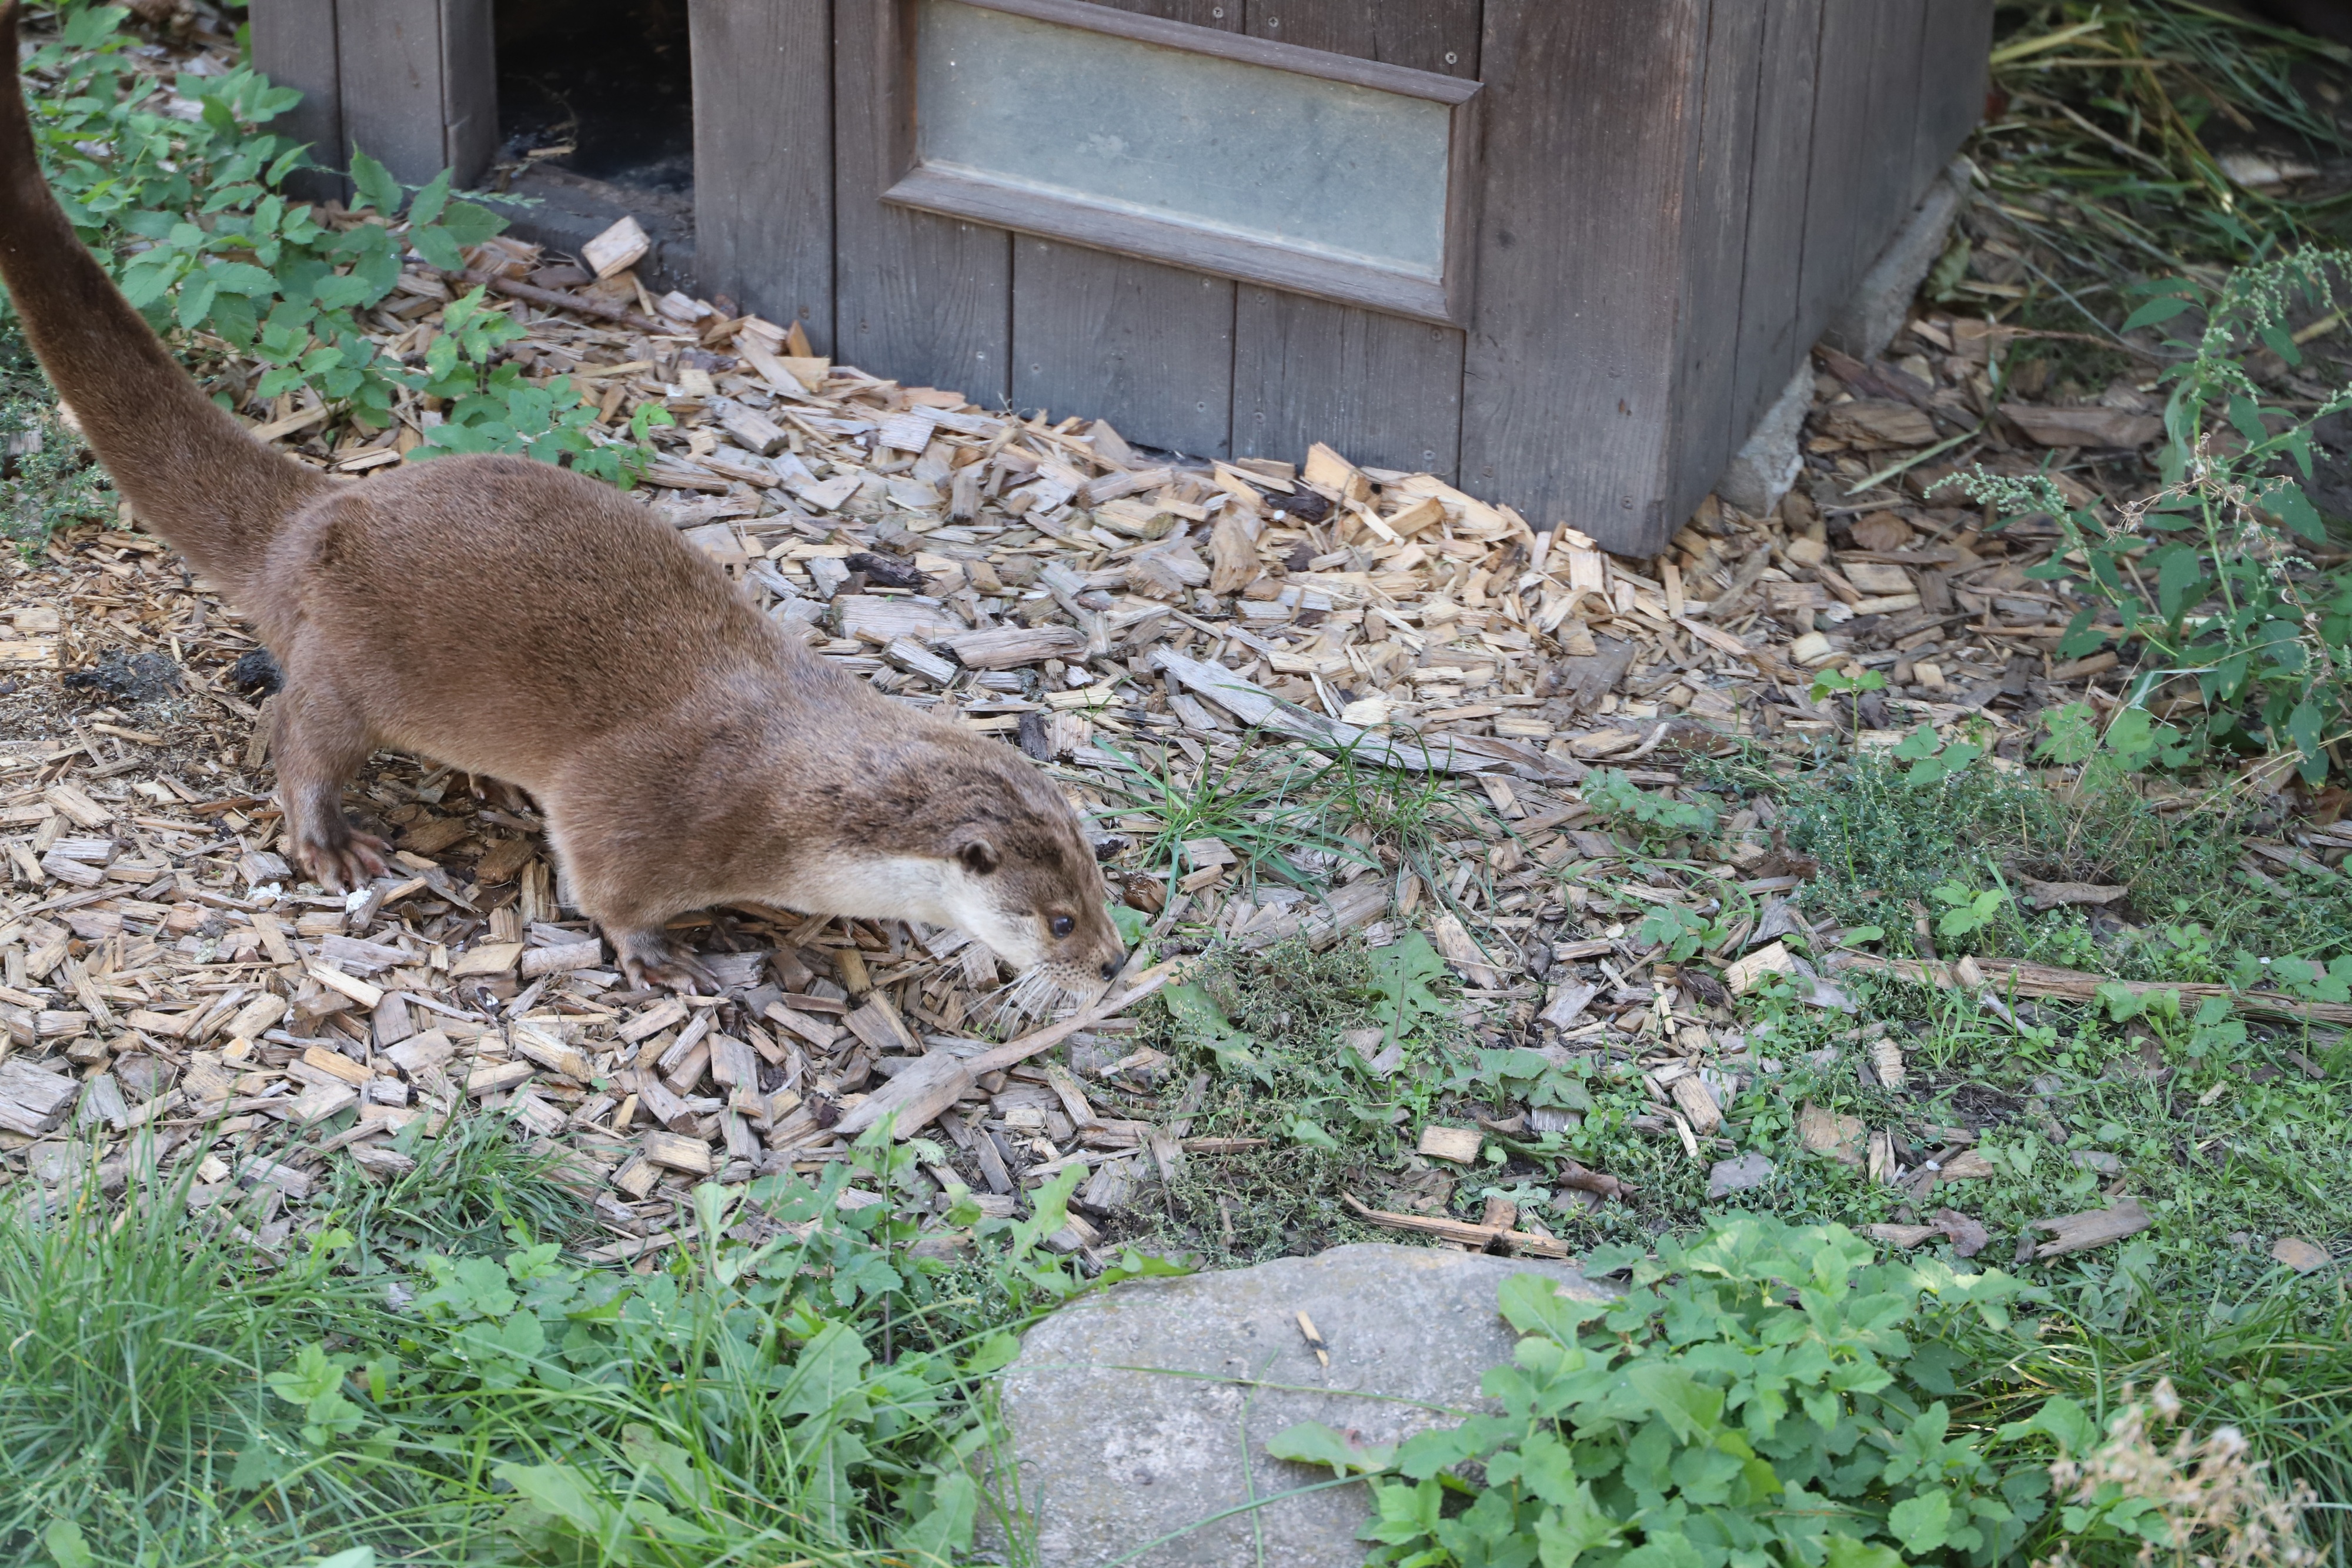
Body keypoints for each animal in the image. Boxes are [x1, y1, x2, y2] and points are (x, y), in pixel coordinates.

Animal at [0, 0, 1129, 1001]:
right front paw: (661, 957)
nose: (1114, 964)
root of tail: (318, 521)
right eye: (1059, 919)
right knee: (299, 731)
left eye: (1097, 887)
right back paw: (333, 841)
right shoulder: (652, 810)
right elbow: (610, 886)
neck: (797, 798)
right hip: (352, 659)